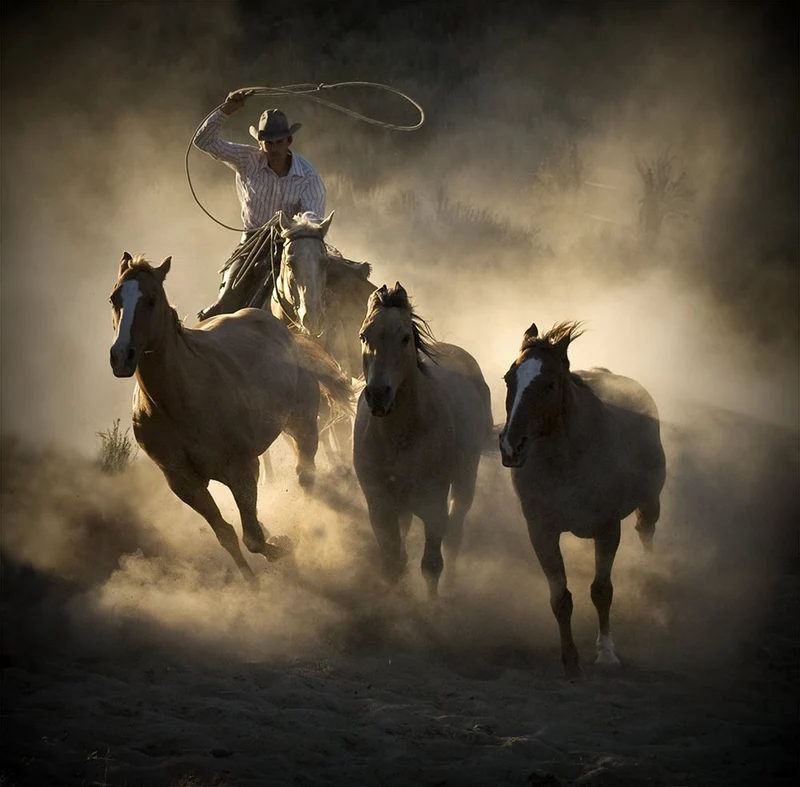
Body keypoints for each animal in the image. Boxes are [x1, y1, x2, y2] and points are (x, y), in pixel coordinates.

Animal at [108, 252, 353, 584]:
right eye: (114, 299)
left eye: (151, 299)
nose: (122, 355)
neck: (180, 400)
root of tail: (285, 332)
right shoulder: (183, 483)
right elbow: (226, 533)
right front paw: (251, 582)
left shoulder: (241, 469)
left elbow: (253, 538)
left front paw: (283, 545)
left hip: (303, 425)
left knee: (306, 475)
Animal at [353, 283, 493, 598]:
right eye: (364, 336)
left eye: (405, 338)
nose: (378, 394)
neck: (401, 435)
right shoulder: (379, 506)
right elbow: (393, 563)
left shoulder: (433, 506)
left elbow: (431, 565)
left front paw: (432, 608)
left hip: (465, 480)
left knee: (454, 537)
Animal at [499, 321, 666, 676]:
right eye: (508, 379)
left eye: (549, 384)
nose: (511, 447)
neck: (569, 458)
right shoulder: (542, 532)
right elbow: (560, 596)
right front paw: (570, 659)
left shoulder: (607, 529)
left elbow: (602, 591)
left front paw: (606, 654)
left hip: (650, 503)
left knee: (646, 532)